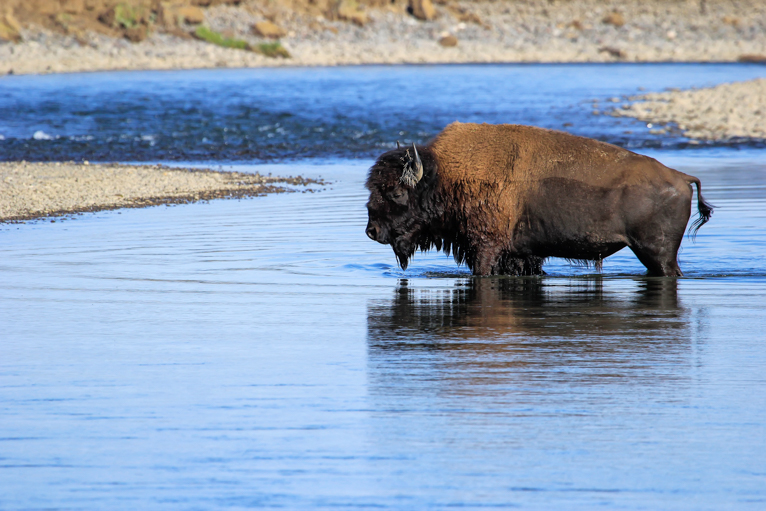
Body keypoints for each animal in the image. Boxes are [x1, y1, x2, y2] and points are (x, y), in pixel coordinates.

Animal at [366, 122, 712, 278]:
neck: (446, 176)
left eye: (396, 192)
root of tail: (681, 177)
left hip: (656, 254)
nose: (372, 230)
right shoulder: (522, 255)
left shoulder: (485, 248)